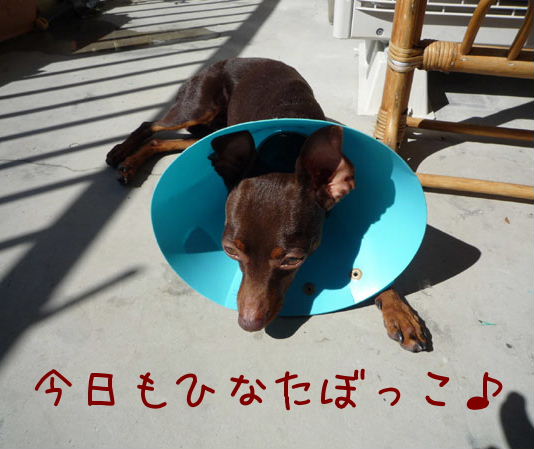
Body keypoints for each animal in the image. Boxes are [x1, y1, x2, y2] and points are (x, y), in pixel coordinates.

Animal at [106, 57, 430, 352]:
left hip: (206, 133)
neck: (282, 151)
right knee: (152, 124)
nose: (248, 324)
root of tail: (230, 59)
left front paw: (400, 311)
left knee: (162, 141)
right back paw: (121, 152)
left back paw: (130, 162)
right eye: (230, 251)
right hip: (196, 109)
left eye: (294, 259)